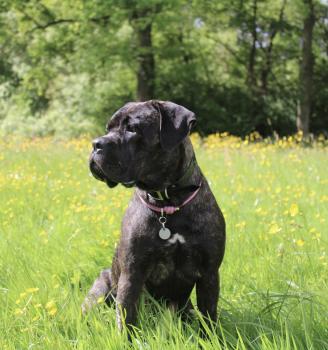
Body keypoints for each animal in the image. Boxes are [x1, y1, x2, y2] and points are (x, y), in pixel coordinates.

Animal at [82, 100, 226, 332]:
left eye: (132, 128)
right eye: (108, 129)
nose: (96, 144)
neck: (168, 201)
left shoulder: (209, 273)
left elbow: (209, 317)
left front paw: (211, 338)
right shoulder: (132, 274)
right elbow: (126, 318)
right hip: (100, 289)